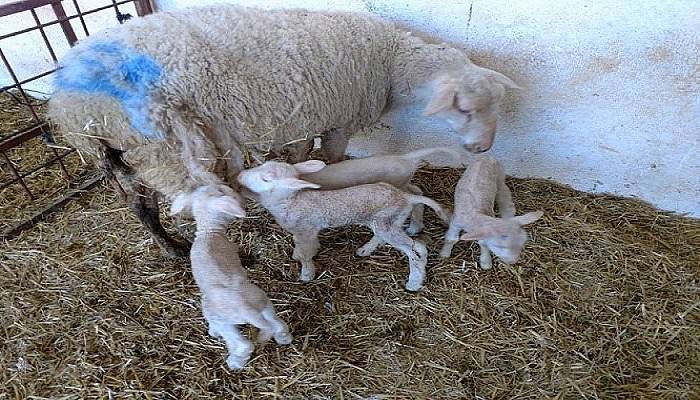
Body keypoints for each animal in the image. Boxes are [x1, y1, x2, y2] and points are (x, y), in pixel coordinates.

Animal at [47, 4, 520, 258]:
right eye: (464, 108)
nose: (483, 147)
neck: (389, 60)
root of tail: (69, 101)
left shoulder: (304, 118)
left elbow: (299, 157)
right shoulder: (337, 119)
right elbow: (330, 159)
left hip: (128, 154)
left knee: (140, 207)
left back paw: (172, 249)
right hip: (166, 147)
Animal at [175, 186, 296, 370]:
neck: (209, 232)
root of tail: (247, 308)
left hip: (224, 319)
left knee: (243, 344)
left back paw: (234, 361)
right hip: (264, 304)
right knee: (277, 324)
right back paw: (283, 338)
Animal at [238, 159, 452, 290]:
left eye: (266, 179)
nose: (240, 176)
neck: (291, 200)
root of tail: (405, 197)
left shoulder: (305, 230)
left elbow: (307, 254)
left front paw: (306, 274)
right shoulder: (306, 231)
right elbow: (304, 247)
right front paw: (298, 255)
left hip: (388, 223)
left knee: (416, 249)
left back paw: (414, 282)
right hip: (387, 220)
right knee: (392, 239)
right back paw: (365, 250)